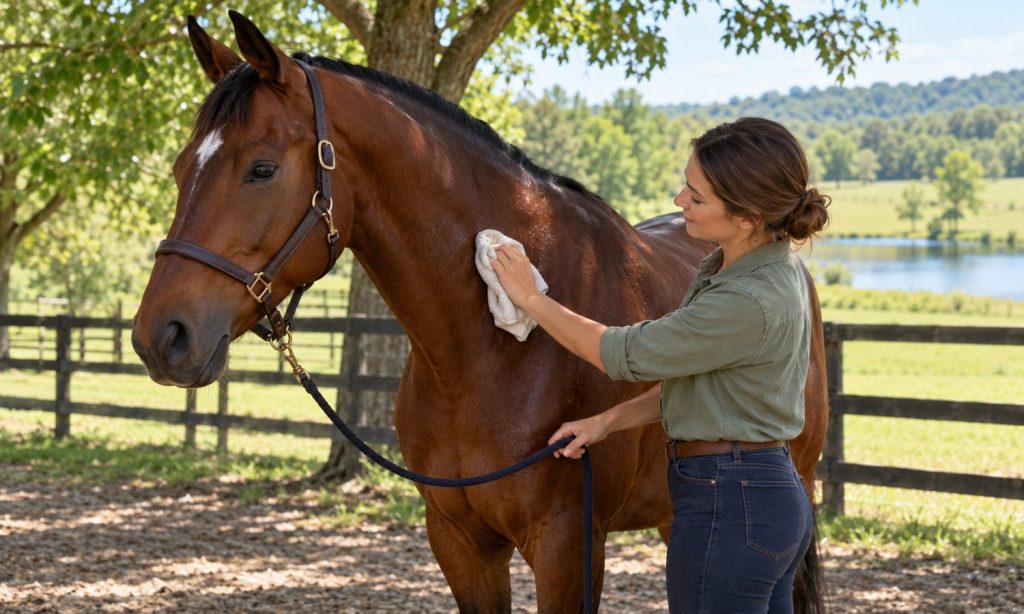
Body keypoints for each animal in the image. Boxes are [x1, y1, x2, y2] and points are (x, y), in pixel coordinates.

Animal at [132, 11, 828, 613]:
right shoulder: (459, 542)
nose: (159, 338)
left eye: (262, 168)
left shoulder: (568, 546)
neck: (485, 355)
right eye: (179, 168)